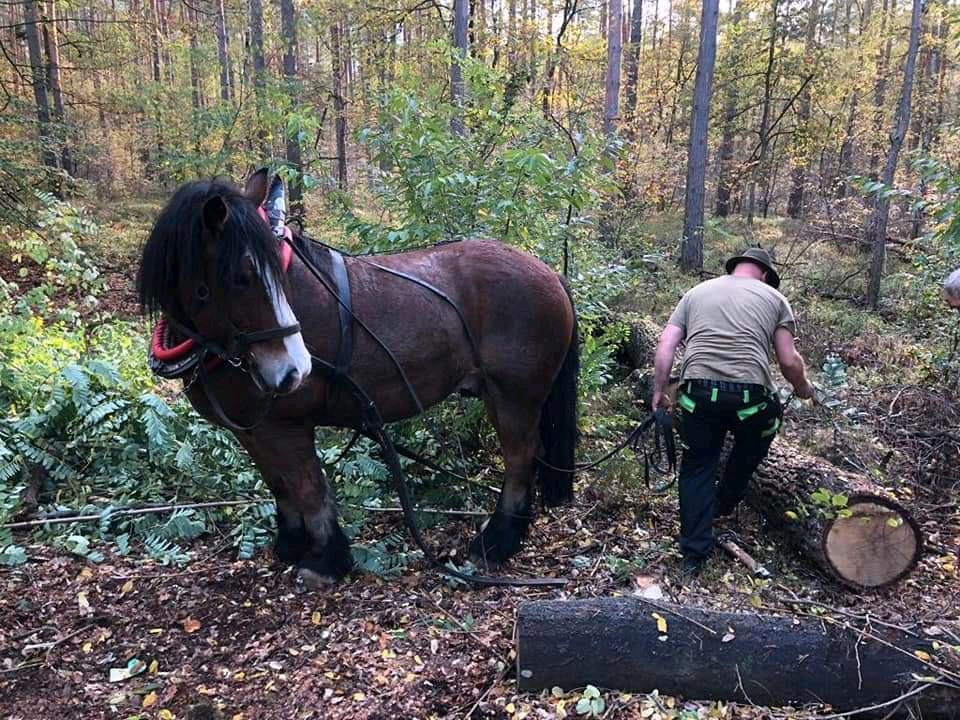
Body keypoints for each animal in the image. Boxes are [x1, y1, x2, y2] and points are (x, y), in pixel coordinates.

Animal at [135, 172, 576, 588]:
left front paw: (325, 561)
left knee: (519, 458)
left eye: (272, 273)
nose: (295, 370)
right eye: (242, 277)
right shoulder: (252, 430)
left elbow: (309, 489)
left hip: (515, 396)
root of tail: (550, 273)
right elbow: (279, 485)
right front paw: (291, 545)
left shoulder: (288, 425)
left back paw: (496, 542)